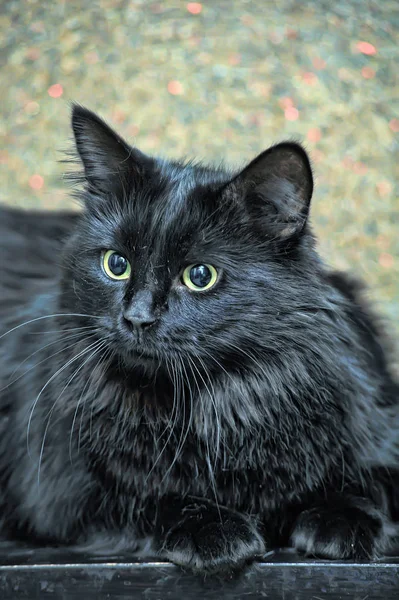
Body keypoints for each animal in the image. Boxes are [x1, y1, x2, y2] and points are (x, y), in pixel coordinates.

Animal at [0, 105, 398, 576]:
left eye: (200, 275)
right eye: (116, 264)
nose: (136, 318)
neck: (213, 404)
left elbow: (368, 480)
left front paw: (340, 521)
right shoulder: (62, 494)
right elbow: (150, 498)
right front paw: (215, 531)